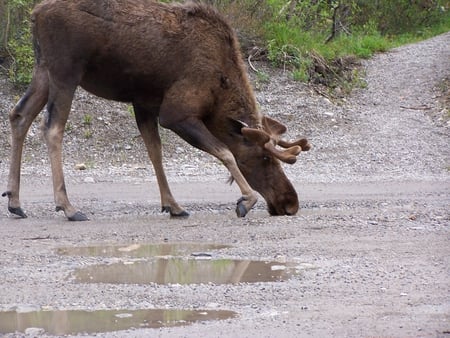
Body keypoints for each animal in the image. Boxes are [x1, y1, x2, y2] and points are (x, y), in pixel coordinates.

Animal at [1, 0, 310, 220]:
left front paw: (172, 204)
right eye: (265, 158)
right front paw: (246, 199)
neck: (219, 92)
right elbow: (225, 152)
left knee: (19, 115)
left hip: (43, 69)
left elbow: (155, 152)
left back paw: (15, 201)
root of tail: (35, 14)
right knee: (52, 128)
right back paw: (67, 206)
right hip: (66, 71)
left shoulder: (145, 103)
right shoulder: (176, 112)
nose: (290, 203)